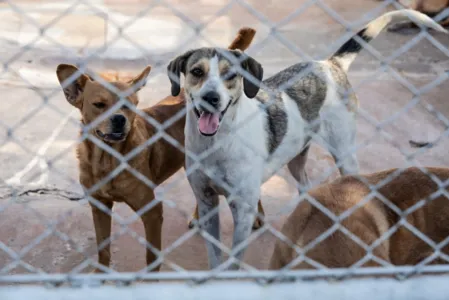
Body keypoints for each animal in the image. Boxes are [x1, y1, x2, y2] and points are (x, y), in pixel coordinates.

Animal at [54, 27, 260, 272]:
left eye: (129, 105)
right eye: (99, 105)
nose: (119, 120)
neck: (107, 158)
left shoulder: (152, 211)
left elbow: (151, 255)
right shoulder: (99, 206)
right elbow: (103, 248)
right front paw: (101, 272)